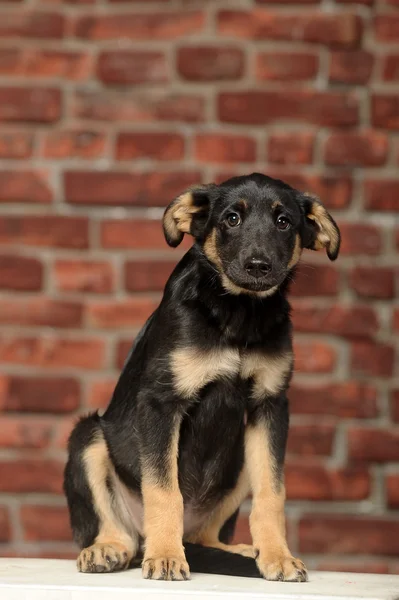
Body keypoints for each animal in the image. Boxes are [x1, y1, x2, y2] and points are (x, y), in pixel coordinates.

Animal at [65, 172, 340, 580]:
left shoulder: (270, 405)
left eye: (283, 221)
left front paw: (278, 556)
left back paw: (240, 550)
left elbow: (272, 493)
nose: (258, 265)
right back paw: (110, 548)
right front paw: (165, 556)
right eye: (231, 219)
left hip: (239, 460)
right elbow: (164, 490)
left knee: (205, 535)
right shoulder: (161, 402)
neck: (239, 313)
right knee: (122, 532)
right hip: (88, 438)